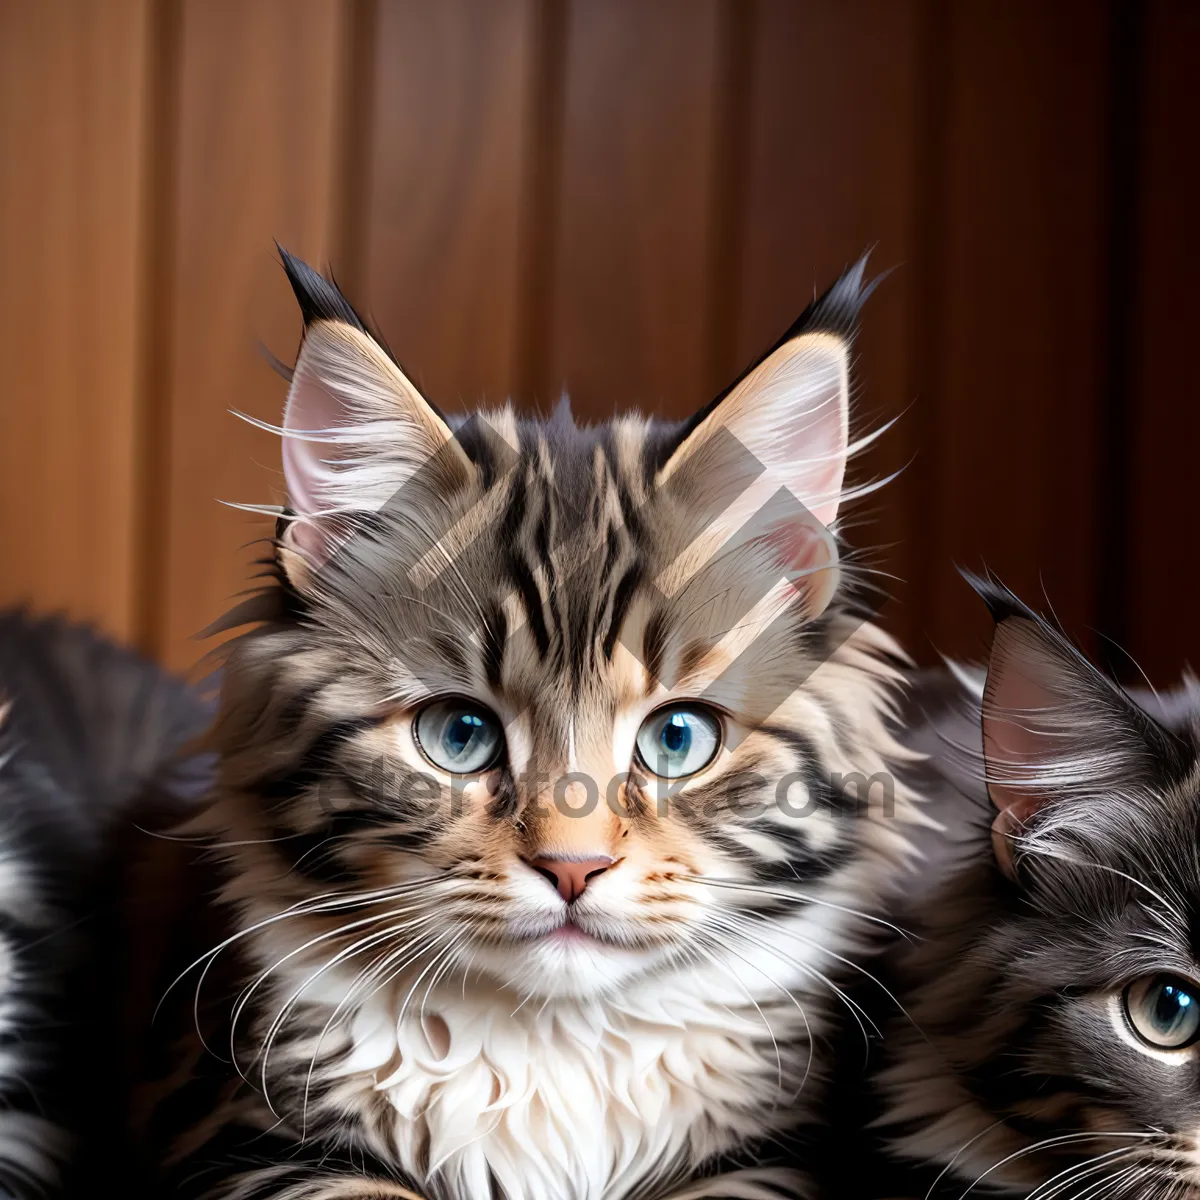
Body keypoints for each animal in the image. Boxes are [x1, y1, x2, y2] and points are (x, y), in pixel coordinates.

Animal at [147, 248, 926, 1195]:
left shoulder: (763, 1159)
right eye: (460, 734)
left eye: (678, 739)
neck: (557, 1059)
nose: (572, 868)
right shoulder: (263, 1146)